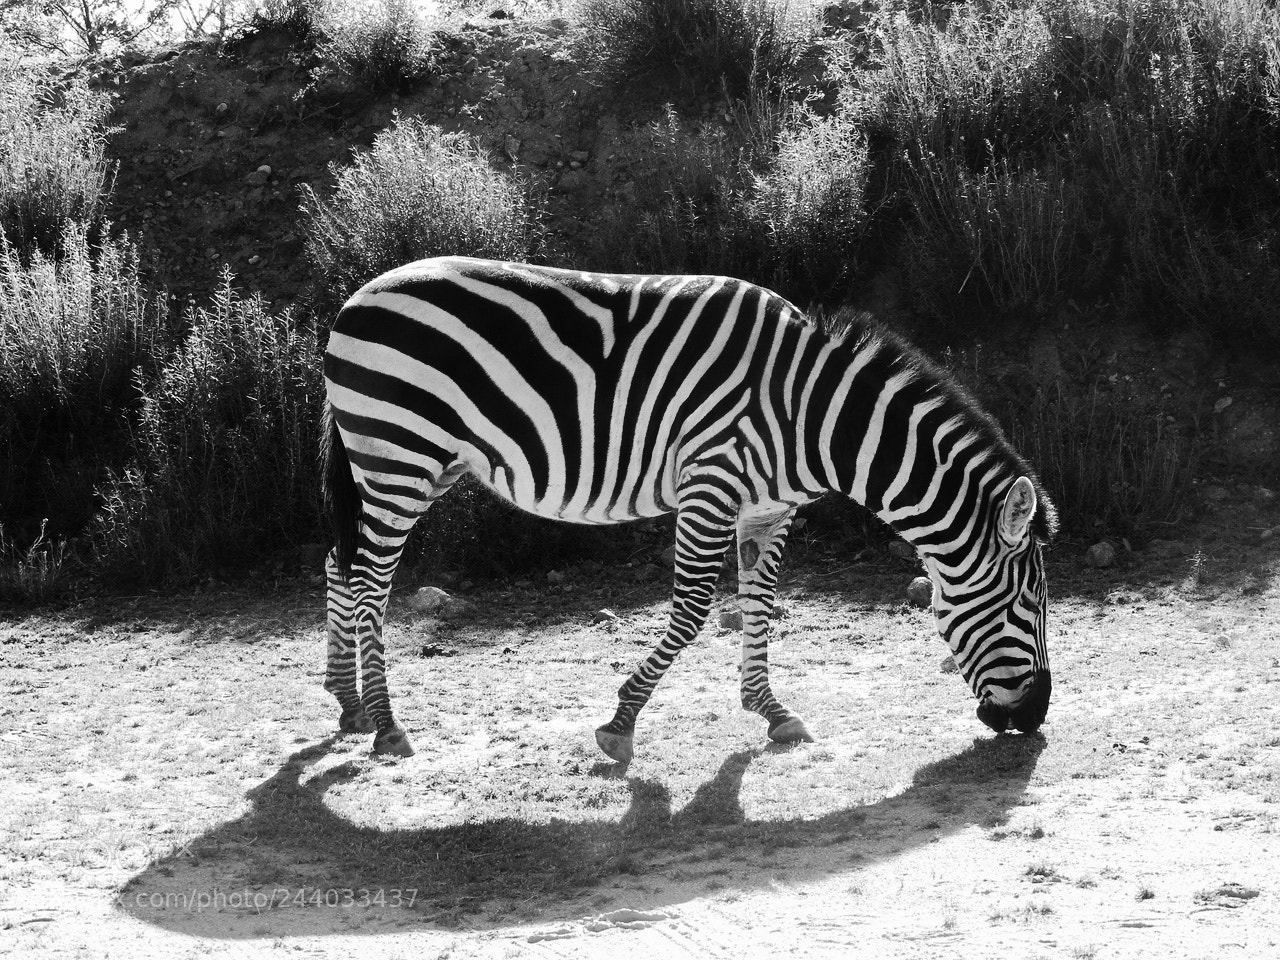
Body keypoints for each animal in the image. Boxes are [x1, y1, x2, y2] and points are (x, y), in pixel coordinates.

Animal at [322, 256, 1057, 759]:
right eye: (1030, 603)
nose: (1036, 717)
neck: (809, 416)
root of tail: (354, 299)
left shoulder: (767, 509)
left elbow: (759, 600)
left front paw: (770, 710)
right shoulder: (711, 484)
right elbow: (695, 608)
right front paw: (621, 722)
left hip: (411, 464)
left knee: (339, 563)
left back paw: (349, 705)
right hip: (399, 455)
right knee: (370, 584)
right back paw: (387, 724)